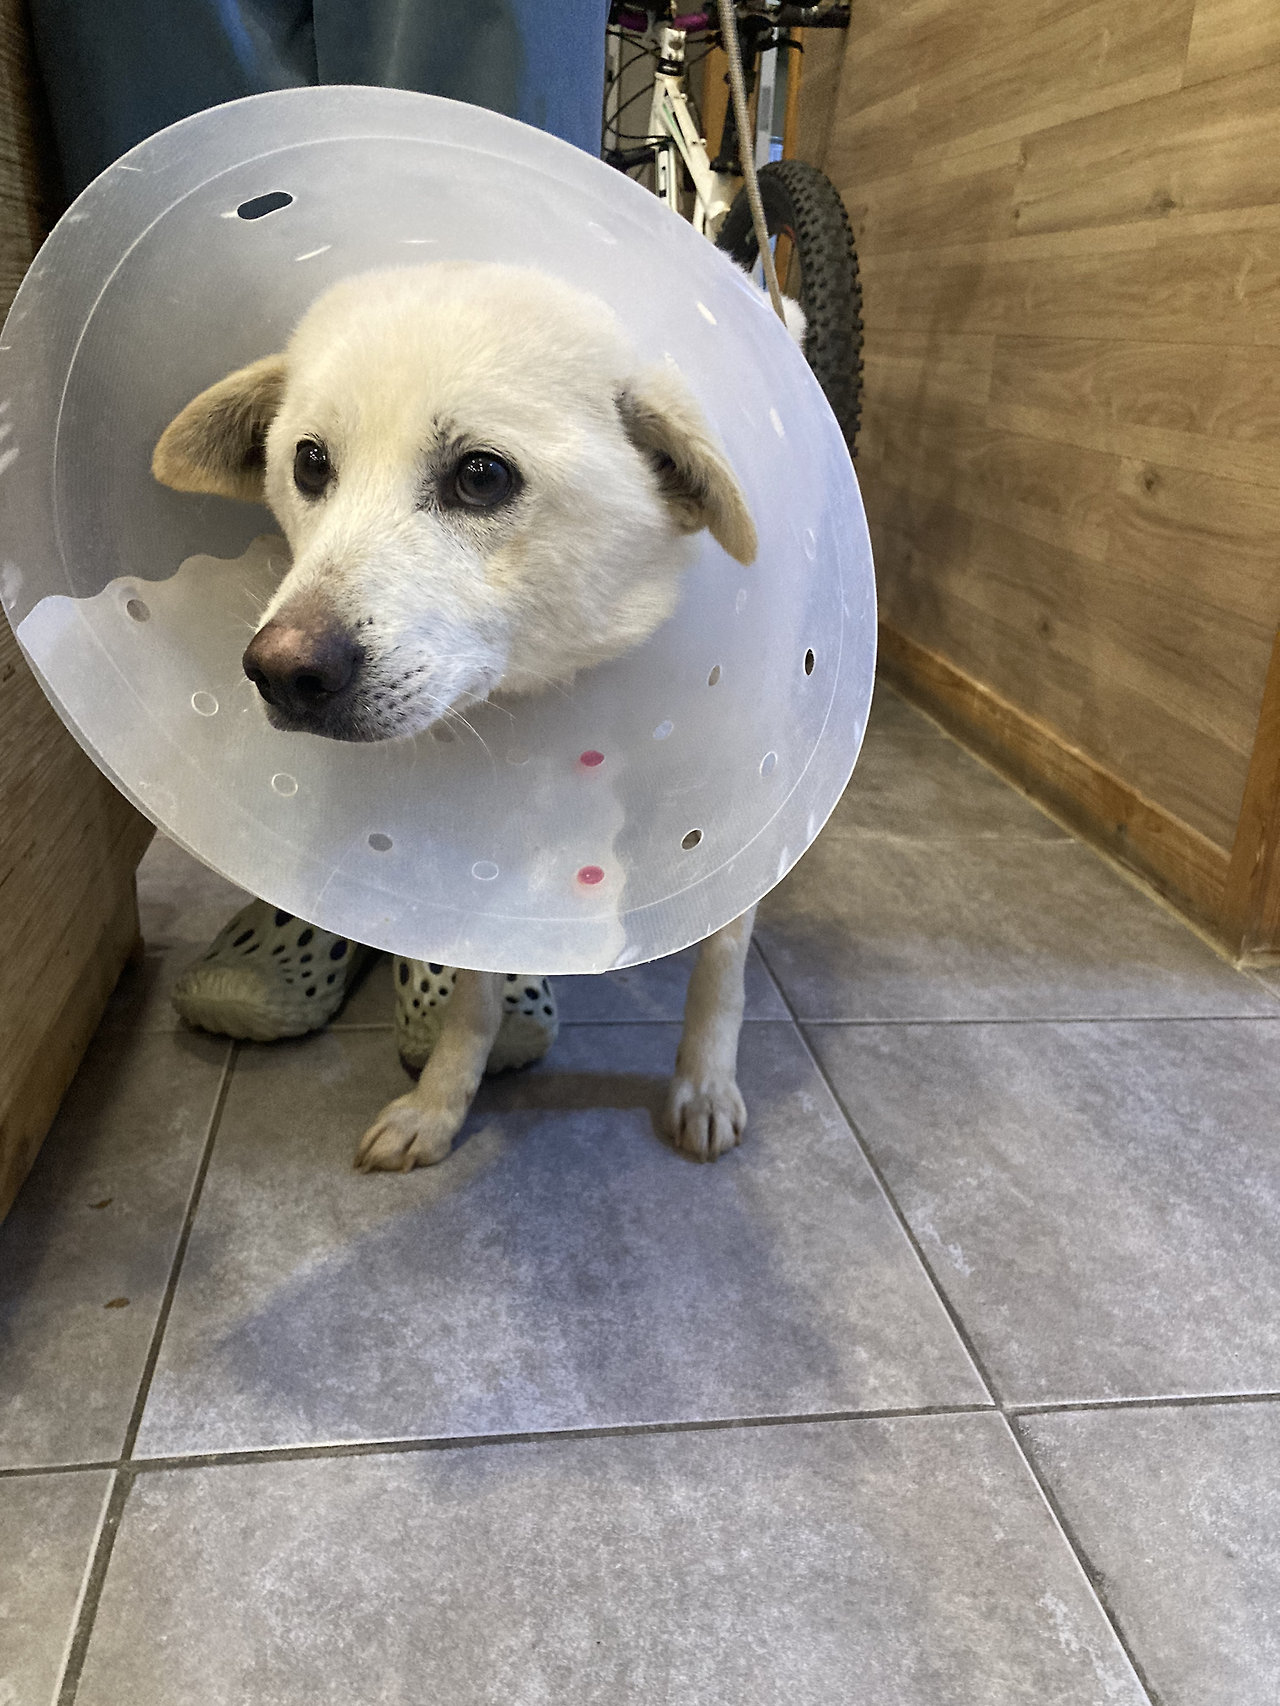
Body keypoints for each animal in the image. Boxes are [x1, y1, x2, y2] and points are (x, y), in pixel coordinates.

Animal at [154, 261, 764, 1172]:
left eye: (481, 476)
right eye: (309, 463)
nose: (281, 674)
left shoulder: (741, 796)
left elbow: (720, 967)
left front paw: (705, 1088)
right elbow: (475, 991)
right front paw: (439, 1105)